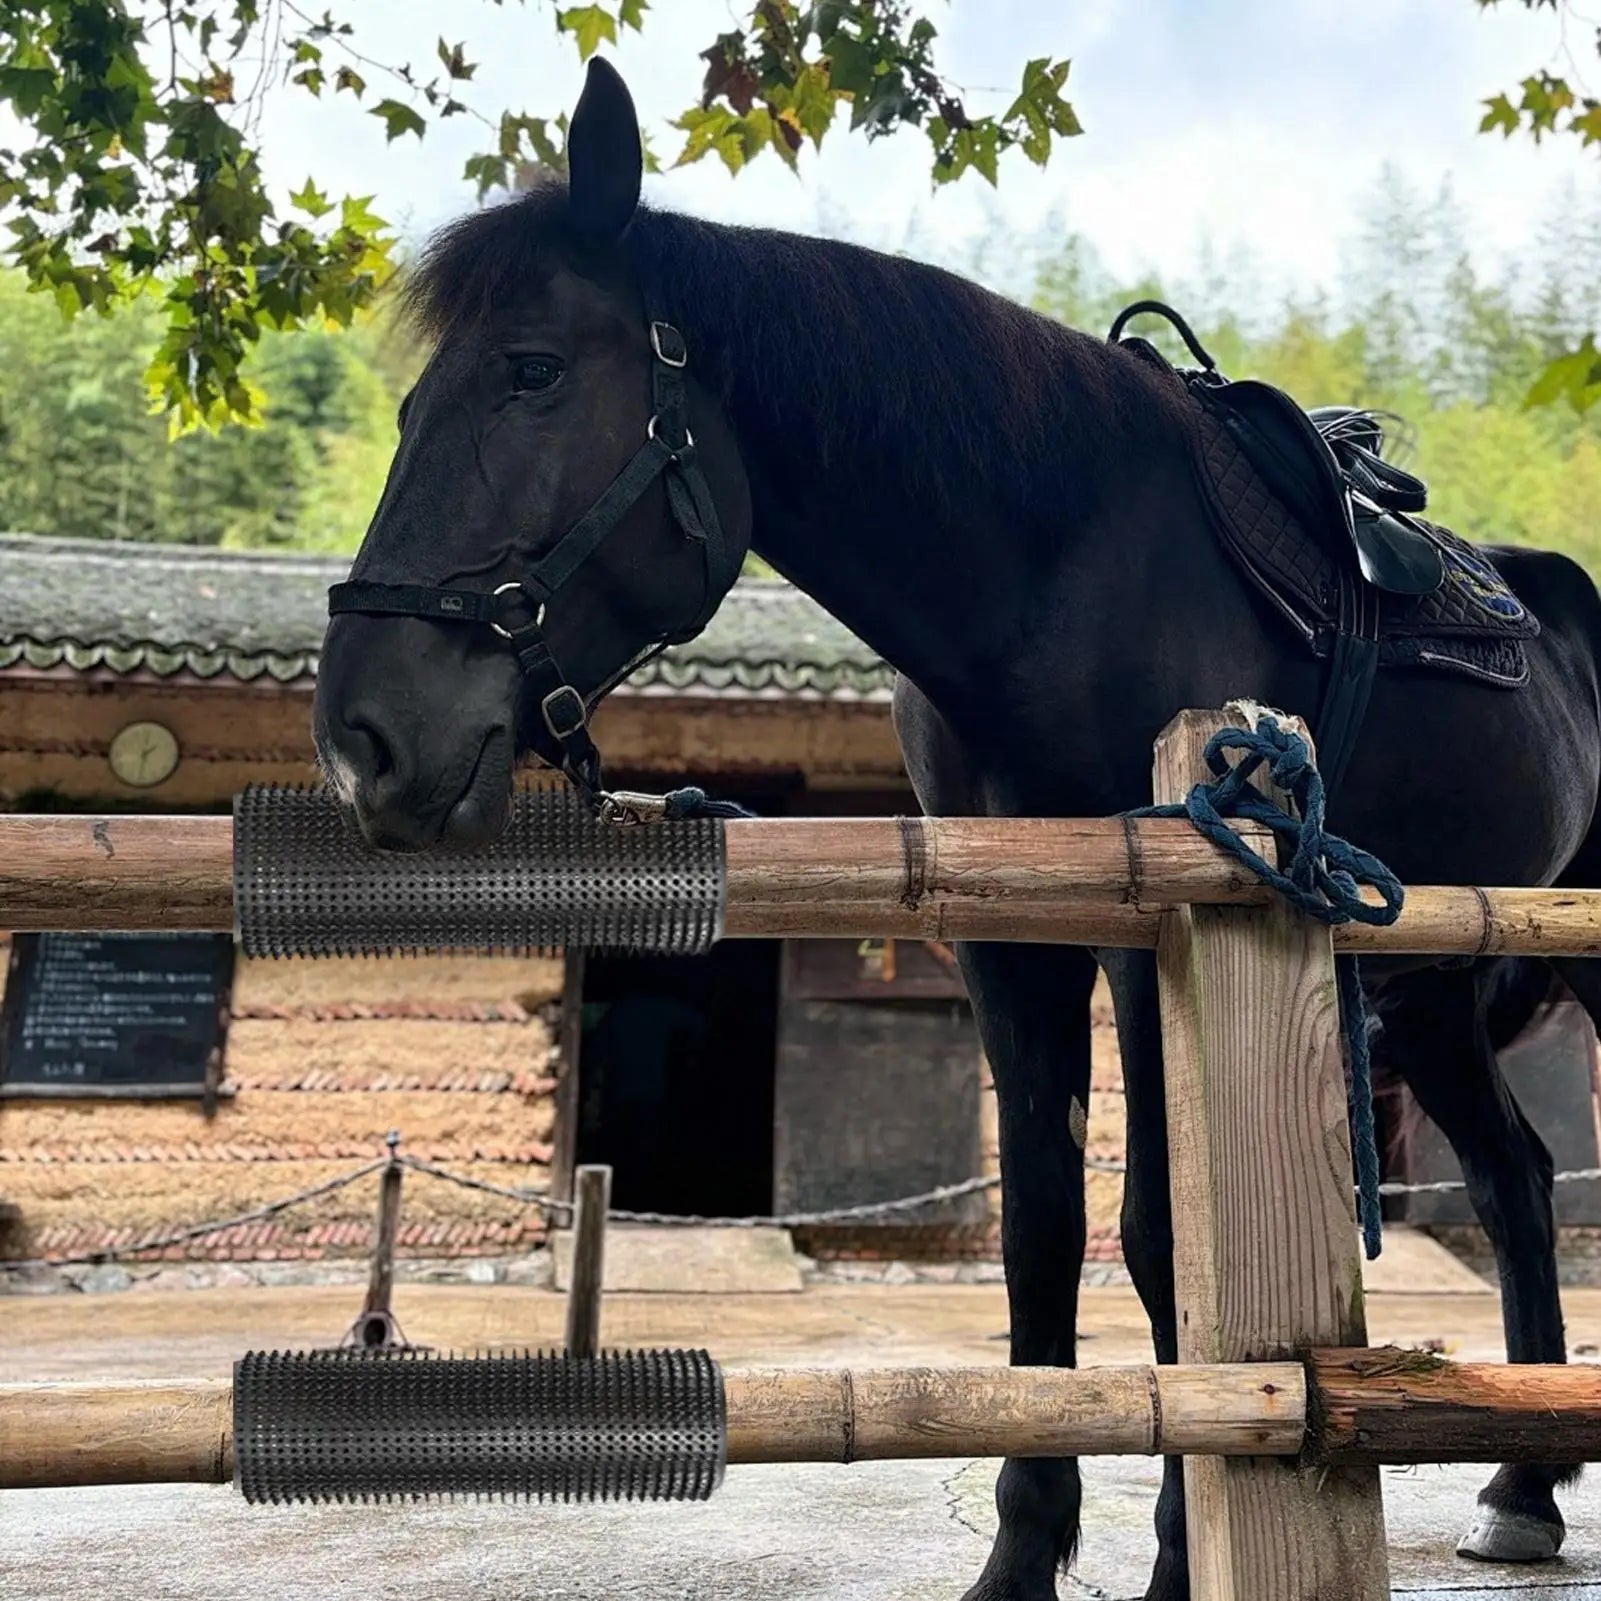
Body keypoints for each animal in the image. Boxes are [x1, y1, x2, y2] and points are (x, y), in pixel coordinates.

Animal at [311, 56, 1599, 1601]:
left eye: (531, 372)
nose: (363, 735)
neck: (1051, 571)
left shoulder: (1157, 927)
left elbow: (1158, 1239)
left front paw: (1179, 1555)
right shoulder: (1005, 935)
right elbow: (1040, 1231)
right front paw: (1023, 1551)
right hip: (1426, 988)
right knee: (1515, 1179)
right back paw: (1519, 1489)